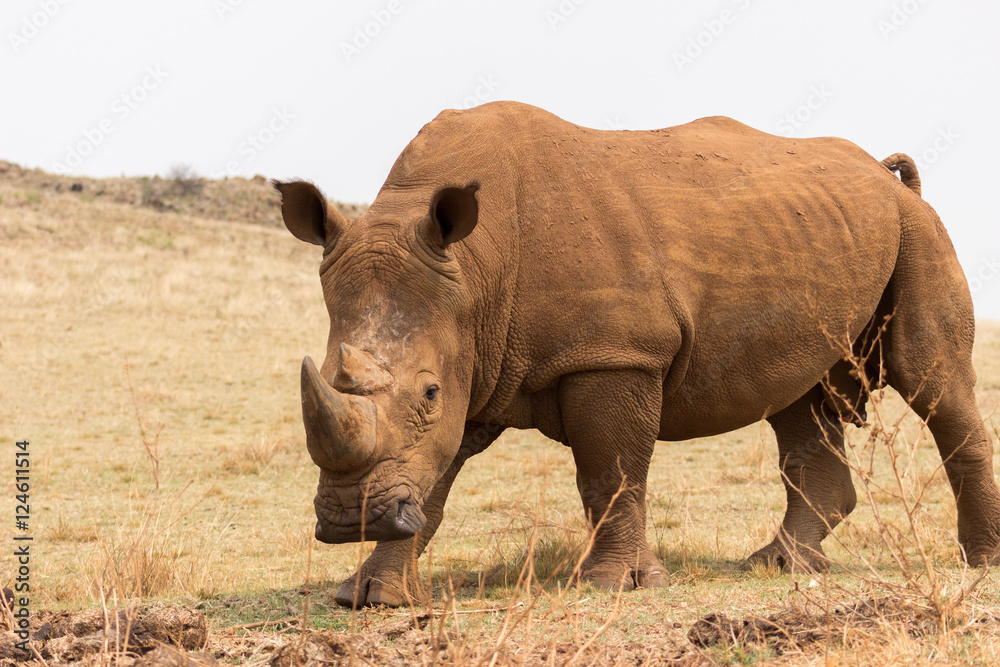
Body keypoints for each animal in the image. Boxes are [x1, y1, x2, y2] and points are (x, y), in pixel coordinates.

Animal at [274, 101, 1000, 608]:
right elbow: (436, 474)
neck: (476, 268)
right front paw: (369, 595)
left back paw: (980, 562)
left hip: (918, 231)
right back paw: (779, 565)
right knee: (798, 399)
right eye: (327, 375)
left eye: (426, 391)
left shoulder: (612, 352)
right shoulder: (472, 351)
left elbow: (610, 470)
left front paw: (613, 585)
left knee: (932, 381)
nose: (345, 518)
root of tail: (888, 176)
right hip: (823, 235)